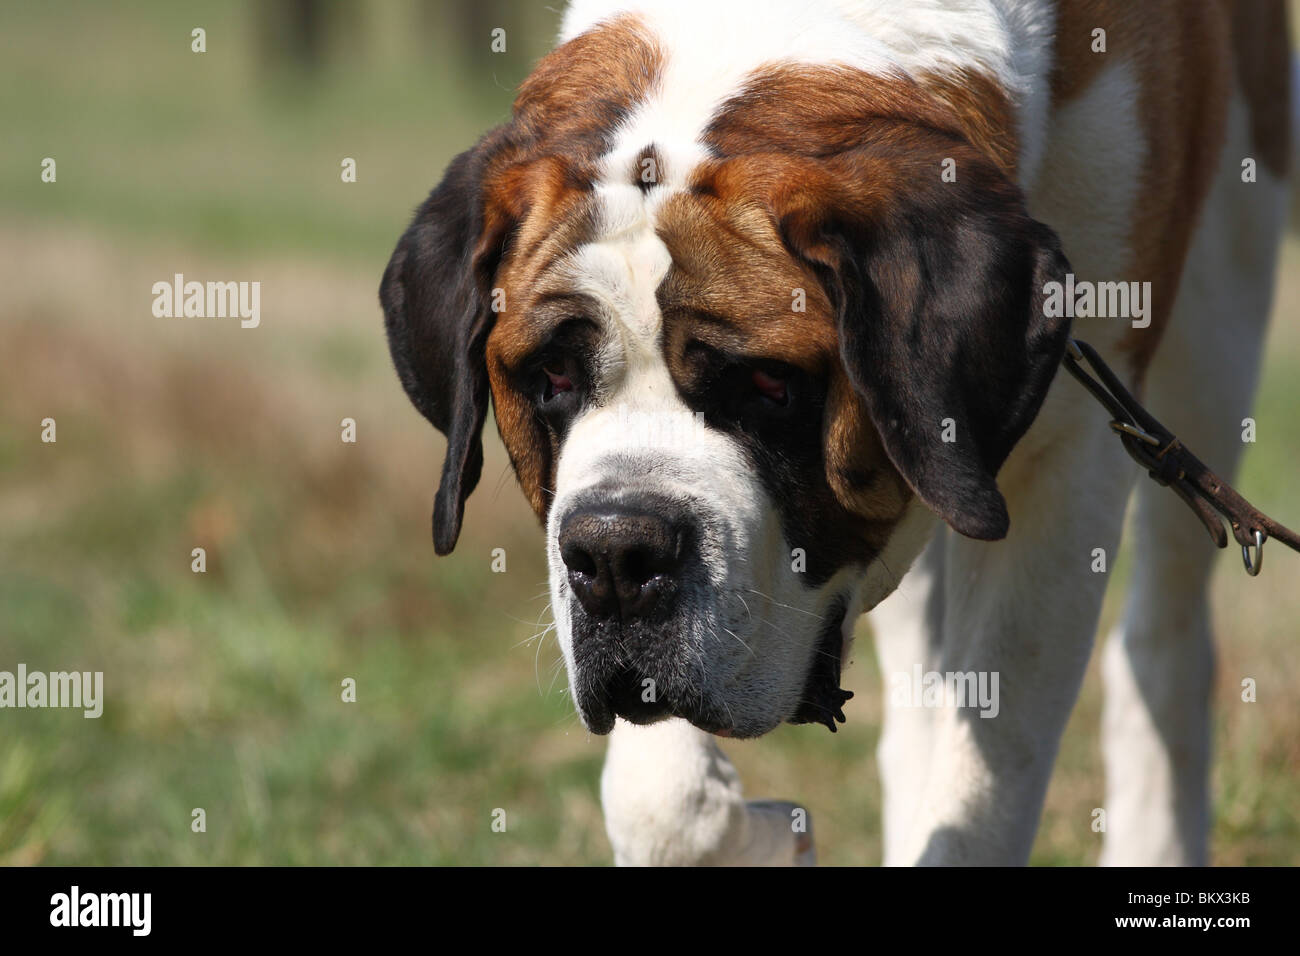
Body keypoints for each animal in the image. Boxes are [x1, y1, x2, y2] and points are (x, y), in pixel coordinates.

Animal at [379, 0, 1289, 863]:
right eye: (554, 378)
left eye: (770, 384)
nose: (614, 557)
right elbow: (663, 803)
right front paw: (761, 830)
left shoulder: (1067, 469)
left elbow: (992, 770)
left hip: (1217, 323)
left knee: (1165, 632)